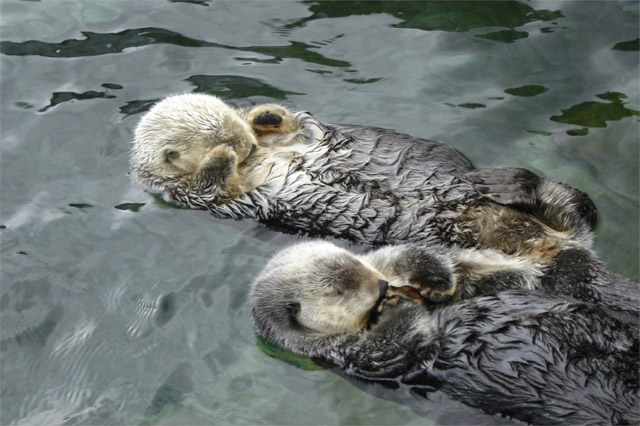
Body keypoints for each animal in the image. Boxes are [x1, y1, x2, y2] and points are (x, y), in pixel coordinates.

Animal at [130, 93, 597, 257]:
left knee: (578, 205)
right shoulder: (198, 198)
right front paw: (220, 156)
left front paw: (265, 115)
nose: (246, 144)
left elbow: (300, 124)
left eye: (237, 123)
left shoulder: (301, 135)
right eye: (225, 138)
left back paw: (502, 182)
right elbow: (214, 185)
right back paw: (507, 187)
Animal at [250, 241, 639, 424]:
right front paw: (397, 308)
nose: (381, 286)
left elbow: (425, 259)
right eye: (337, 292)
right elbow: (392, 346)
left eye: (353, 259)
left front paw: (430, 278)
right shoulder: (350, 356)